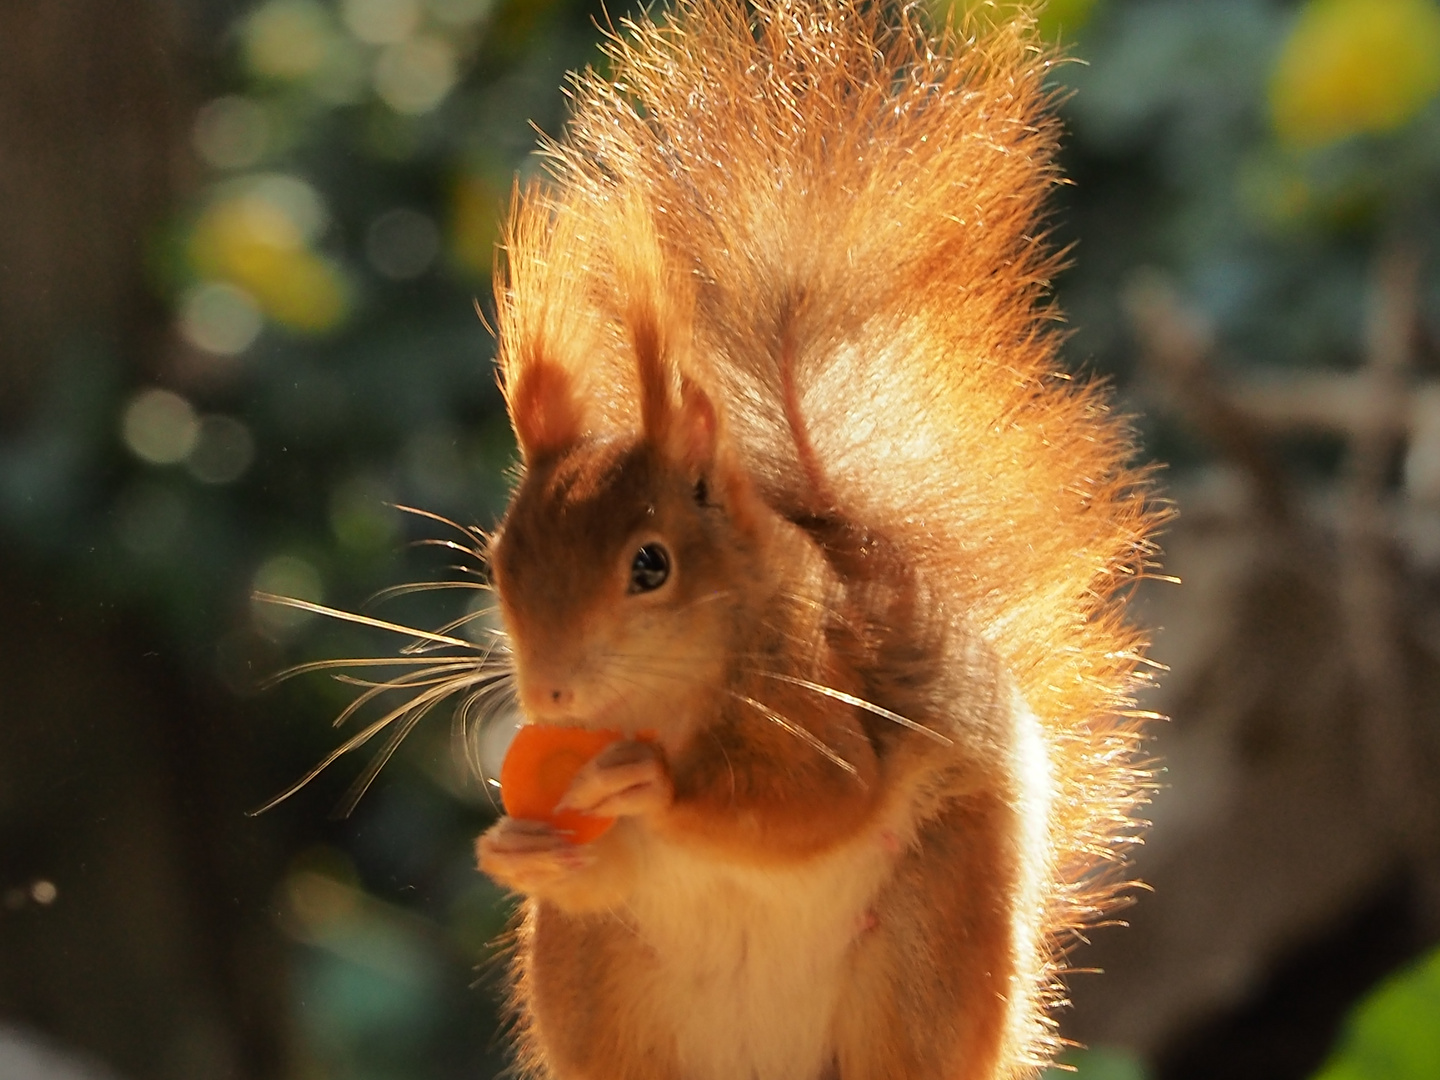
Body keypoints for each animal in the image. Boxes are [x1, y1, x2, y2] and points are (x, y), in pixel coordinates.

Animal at [460, 2, 1157, 1080]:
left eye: (651, 565)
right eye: (501, 561)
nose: (552, 697)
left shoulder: (828, 692)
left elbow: (820, 801)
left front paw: (654, 786)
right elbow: (593, 866)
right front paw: (514, 850)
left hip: (933, 939)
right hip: (596, 982)